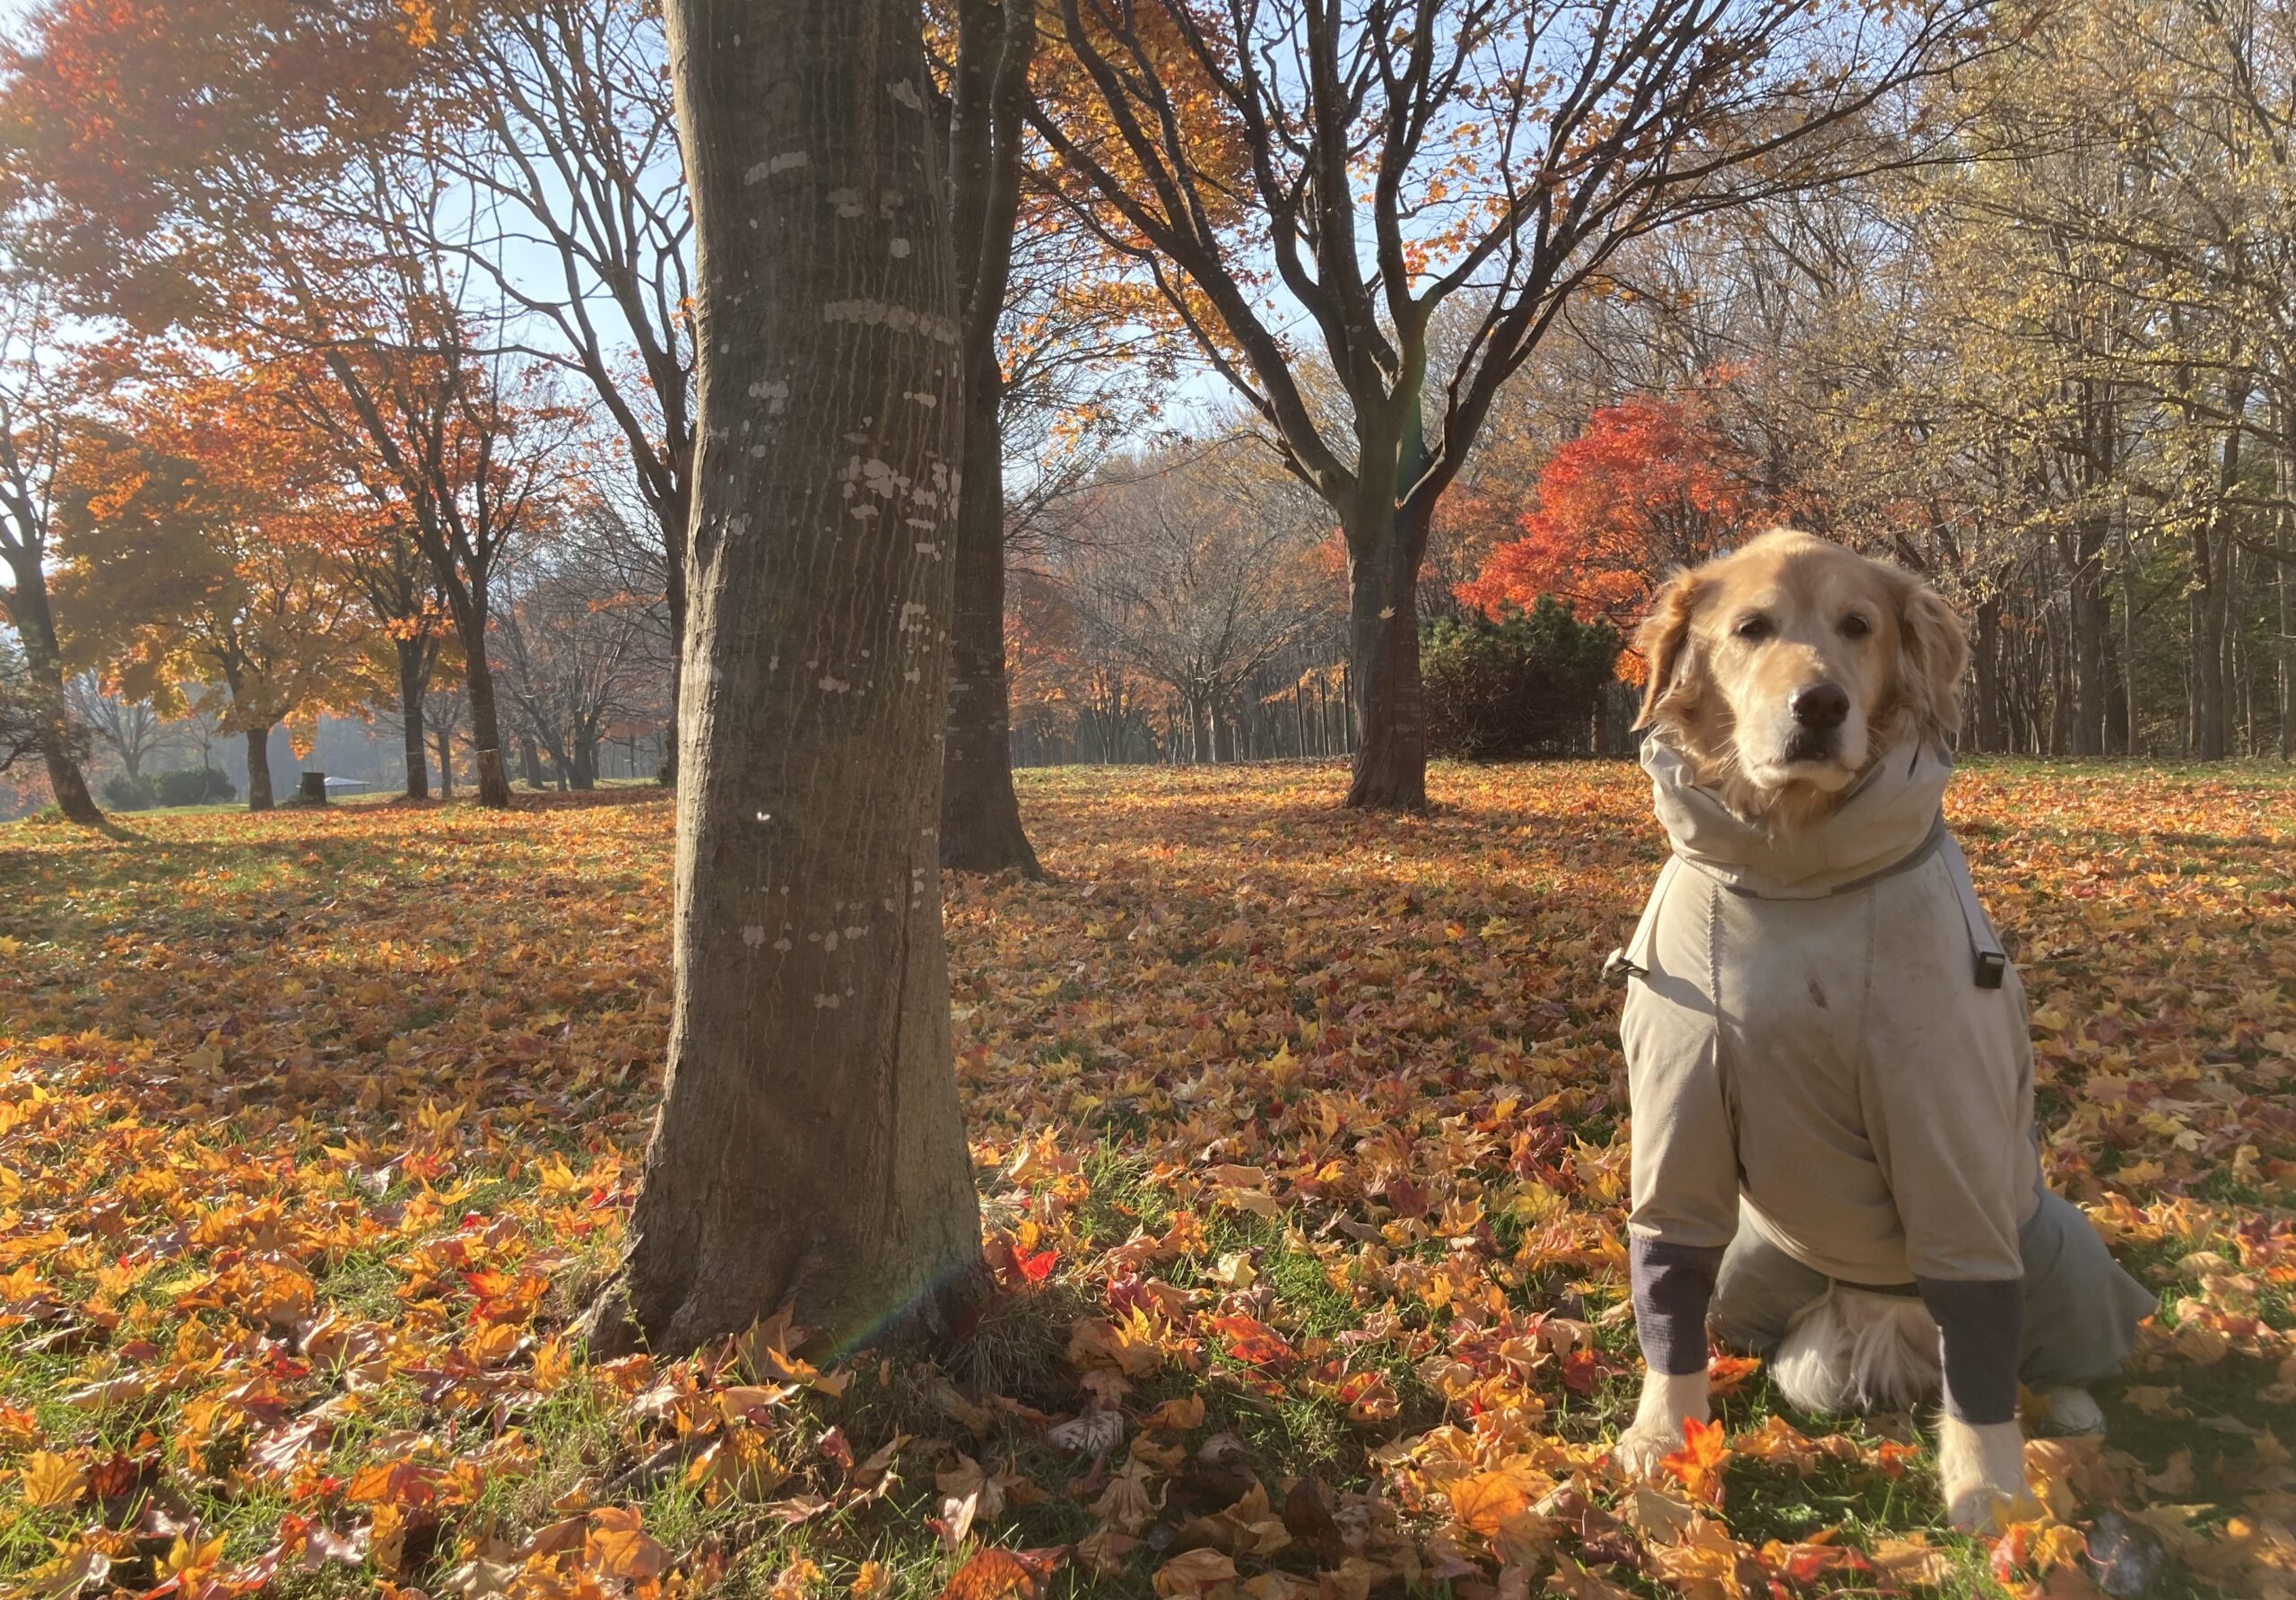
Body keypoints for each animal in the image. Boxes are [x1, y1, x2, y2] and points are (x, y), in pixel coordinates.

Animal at [1607, 530, 2150, 1533]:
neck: (1792, 873)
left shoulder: (1947, 1125)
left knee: (2045, 1354)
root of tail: (1878, 1316)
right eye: (1751, 627)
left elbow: (1977, 1319)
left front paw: (1989, 1485)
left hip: (2064, 1242)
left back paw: (2071, 1407)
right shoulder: (1677, 1108)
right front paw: (1665, 1435)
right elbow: (1667, 1273)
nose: (1820, 705)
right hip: (1750, 1261)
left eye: (1858, 626)